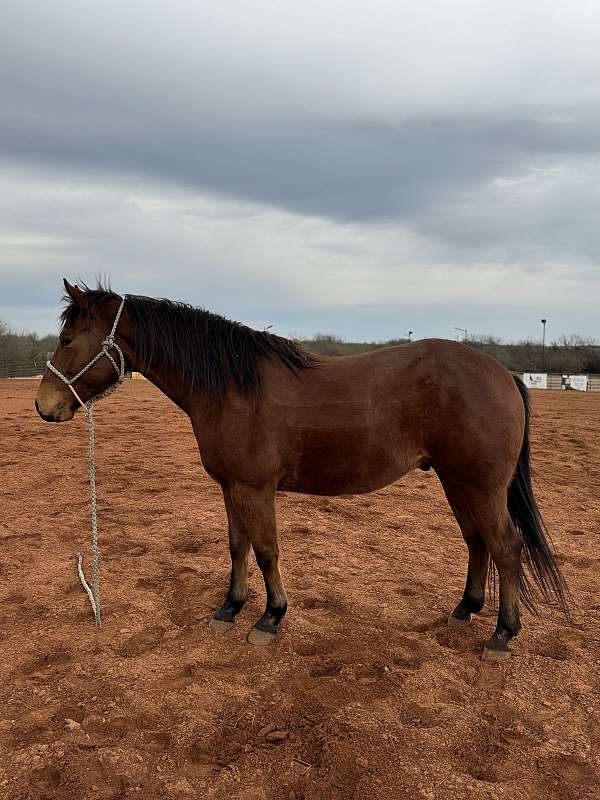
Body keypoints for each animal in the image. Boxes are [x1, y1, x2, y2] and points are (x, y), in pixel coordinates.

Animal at [35, 284, 568, 660]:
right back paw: (465, 610)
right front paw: (229, 608)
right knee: (477, 542)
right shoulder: (231, 487)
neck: (231, 387)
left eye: (67, 339)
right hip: (456, 480)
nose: (45, 406)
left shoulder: (255, 488)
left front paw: (270, 617)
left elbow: (266, 549)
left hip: (481, 485)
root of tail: (502, 373)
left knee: (506, 546)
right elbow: (238, 546)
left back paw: (502, 634)